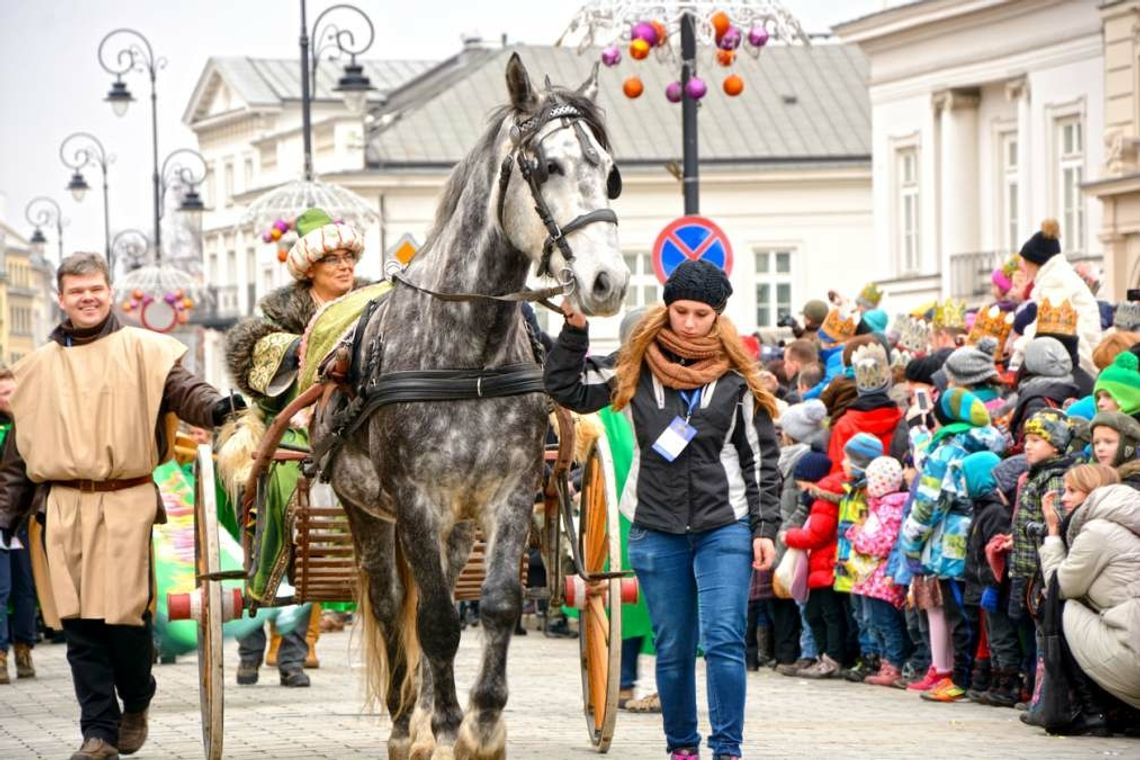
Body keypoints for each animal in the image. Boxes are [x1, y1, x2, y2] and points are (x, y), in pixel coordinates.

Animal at [312, 54, 629, 760]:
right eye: (547, 166)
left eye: (607, 170)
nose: (608, 282)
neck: (470, 358)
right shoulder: (414, 500)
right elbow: (432, 619)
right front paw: (443, 724)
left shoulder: (509, 492)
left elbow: (499, 604)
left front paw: (481, 724)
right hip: (367, 511)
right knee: (392, 601)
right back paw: (408, 721)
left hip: (455, 523)